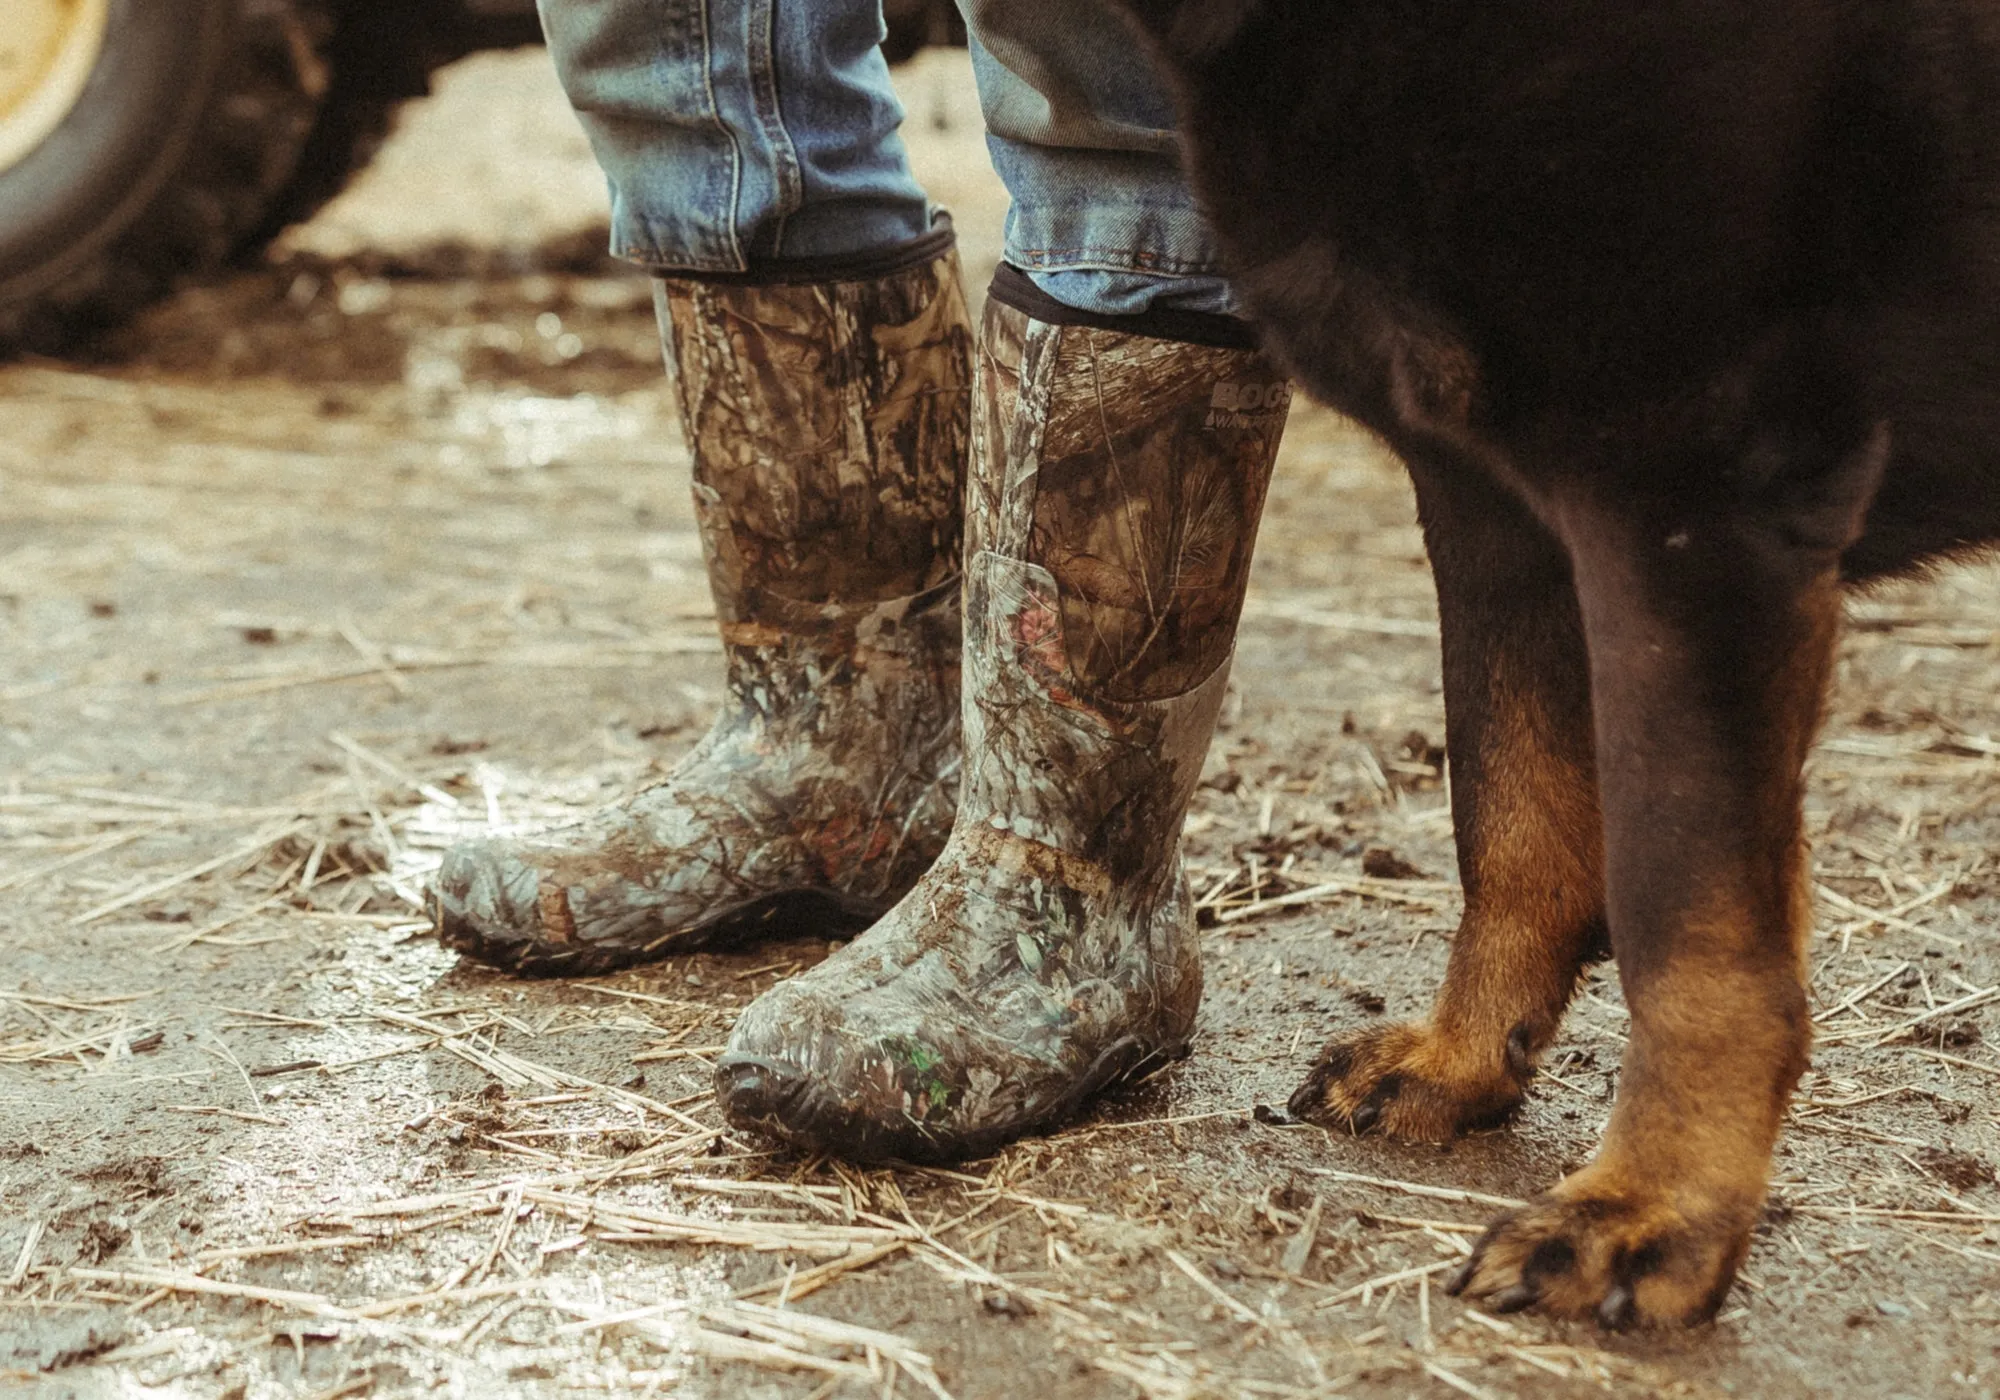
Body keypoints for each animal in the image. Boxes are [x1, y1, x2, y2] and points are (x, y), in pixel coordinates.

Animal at [1120, 0, 2000, 1328]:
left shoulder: (1690, 510)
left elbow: (1689, 925)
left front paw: (1651, 1209)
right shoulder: (1495, 509)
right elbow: (1511, 813)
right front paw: (1462, 1058)